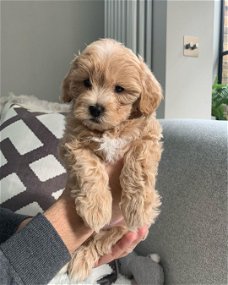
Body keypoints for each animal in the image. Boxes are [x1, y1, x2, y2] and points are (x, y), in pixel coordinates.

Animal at [58, 38, 162, 280]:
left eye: (119, 89)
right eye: (86, 82)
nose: (95, 108)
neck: (110, 130)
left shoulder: (148, 136)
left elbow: (138, 161)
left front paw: (138, 207)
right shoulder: (72, 143)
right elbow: (90, 167)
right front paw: (96, 208)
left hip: (122, 229)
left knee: (102, 240)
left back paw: (81, 261)